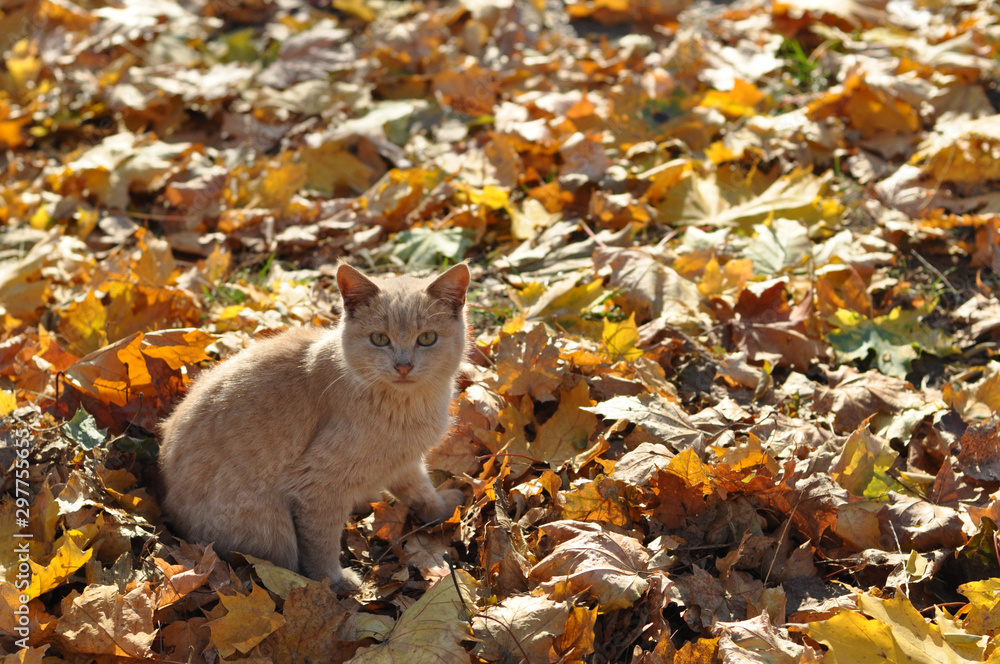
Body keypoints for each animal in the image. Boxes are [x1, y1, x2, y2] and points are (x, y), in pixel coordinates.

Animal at [158, 262, 470, 588]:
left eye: (427, 338)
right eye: (380, 339)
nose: (403, 366)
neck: (408, 406)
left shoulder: (403, 462)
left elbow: (422, 491)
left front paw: (444, 509)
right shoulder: (318, 487)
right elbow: (321, 544)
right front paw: (335, 582)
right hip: (275, 532)